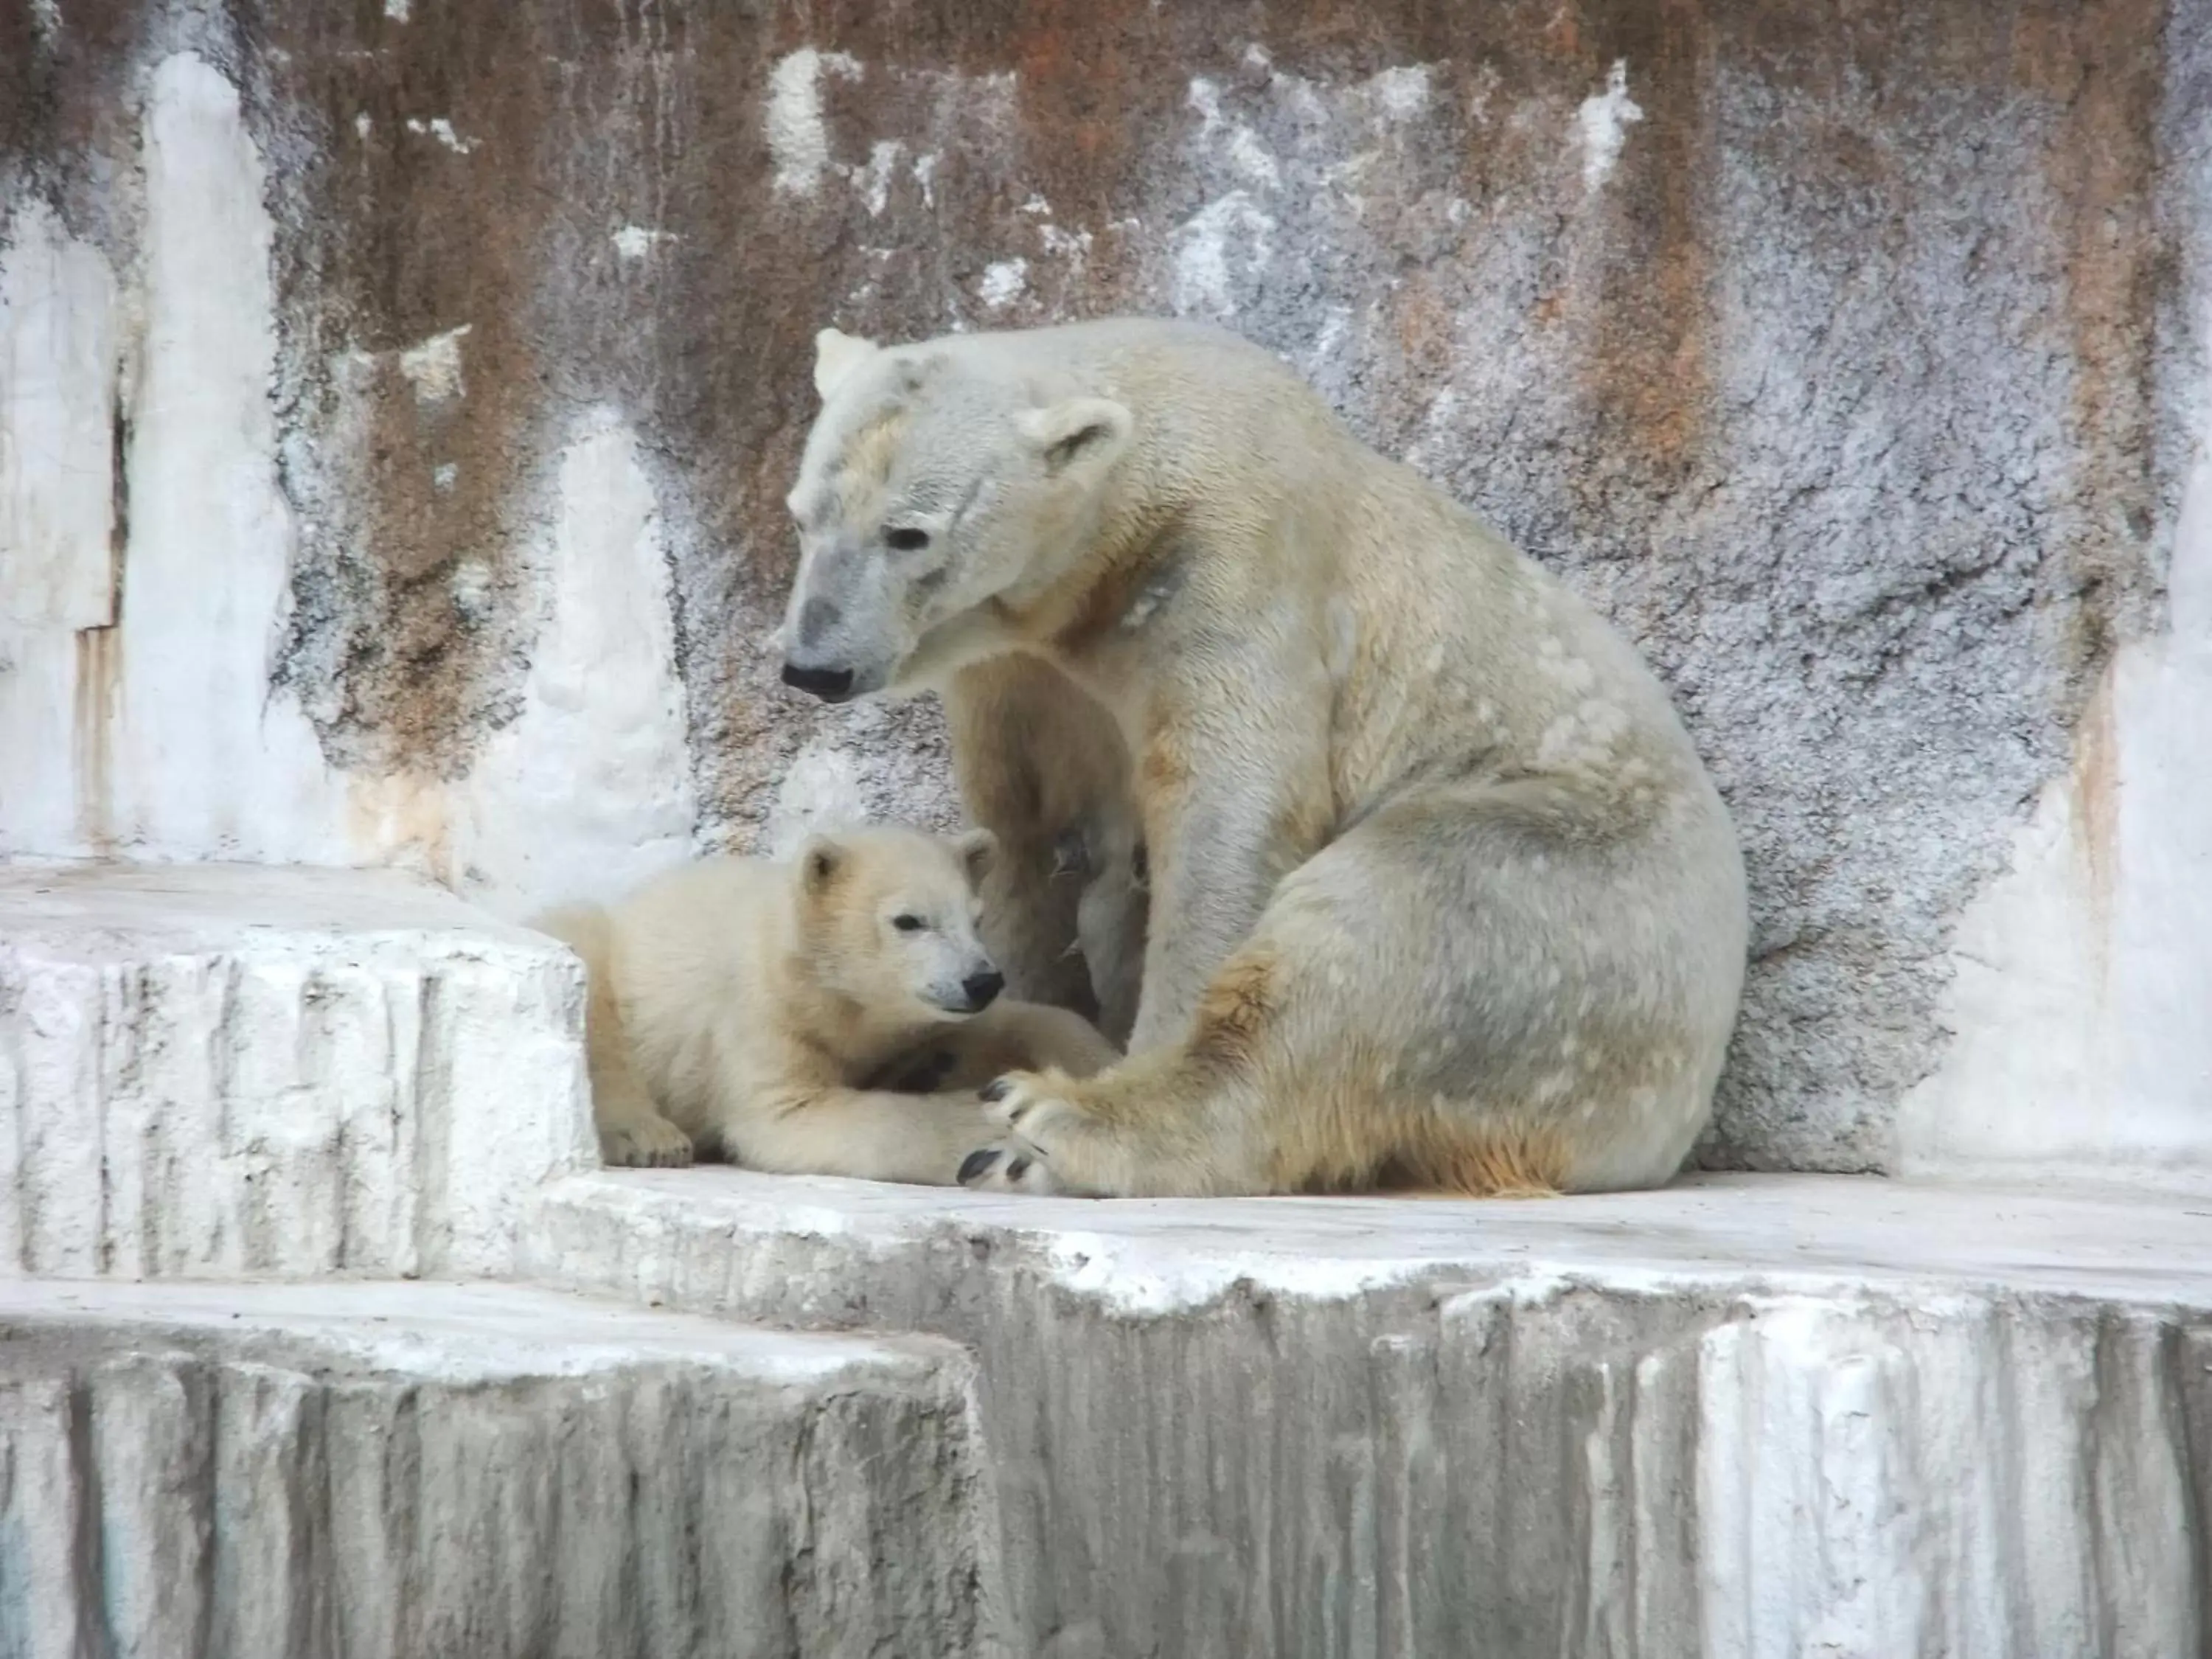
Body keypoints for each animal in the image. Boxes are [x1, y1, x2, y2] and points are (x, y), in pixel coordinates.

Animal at [779, 314, 1743, 1194]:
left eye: (909, 533)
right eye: (802, 517)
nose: (813, 666)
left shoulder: (1231, 558)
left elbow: (1226, 816)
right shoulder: (1025, 671)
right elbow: (1029, 828)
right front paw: (975, 1019)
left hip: (1578, 908)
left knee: (1389, 922)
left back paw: (1052, 1124)